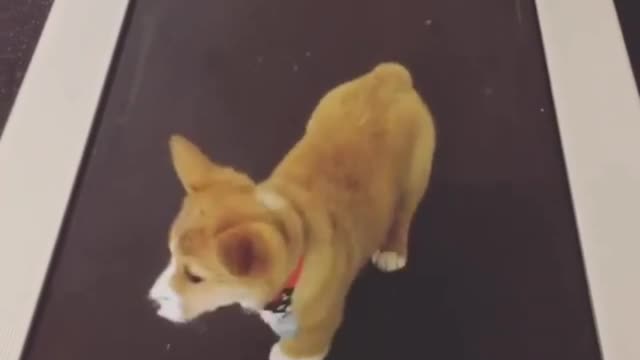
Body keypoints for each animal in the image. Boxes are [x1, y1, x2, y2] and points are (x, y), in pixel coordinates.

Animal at [151, 62, 436, 360]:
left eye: (196, 277)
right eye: (171, 253)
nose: (153, 301)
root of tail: (388, 76)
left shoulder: (318, 328)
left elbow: (298, 349)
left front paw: (285, 352)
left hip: (416, 176)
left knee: (404, 213)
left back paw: (393, 248)